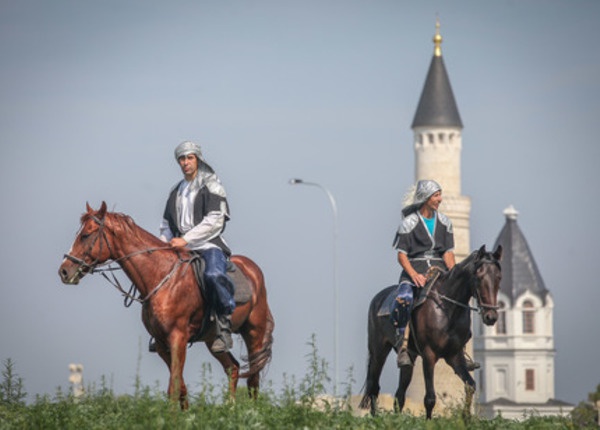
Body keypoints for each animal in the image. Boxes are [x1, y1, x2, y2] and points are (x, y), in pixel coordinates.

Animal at [58, 202, 274, 410]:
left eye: (86, 235)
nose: (64, 271)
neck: (162, 277)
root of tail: (253, 270)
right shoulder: (162, 344)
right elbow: (180, 385)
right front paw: (185, 415)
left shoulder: (177, 338)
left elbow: (175, 385)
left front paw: (172, 418)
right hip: (213, 340)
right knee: (233, 368)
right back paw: (230, 410)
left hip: (253, 332)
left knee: (253, 377)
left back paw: (251, 413)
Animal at [360, 247, 502, 418]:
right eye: (479, 276)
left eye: (499, 277)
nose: (491, 316)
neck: (447, 309)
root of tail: (378, 299)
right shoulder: (429, 355)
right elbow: (429, 398)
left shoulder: (454, 356)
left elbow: (470, 386)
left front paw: (466, 418)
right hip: (379, 352)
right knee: (374, 388)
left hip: (410, 357)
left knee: (399, 395)